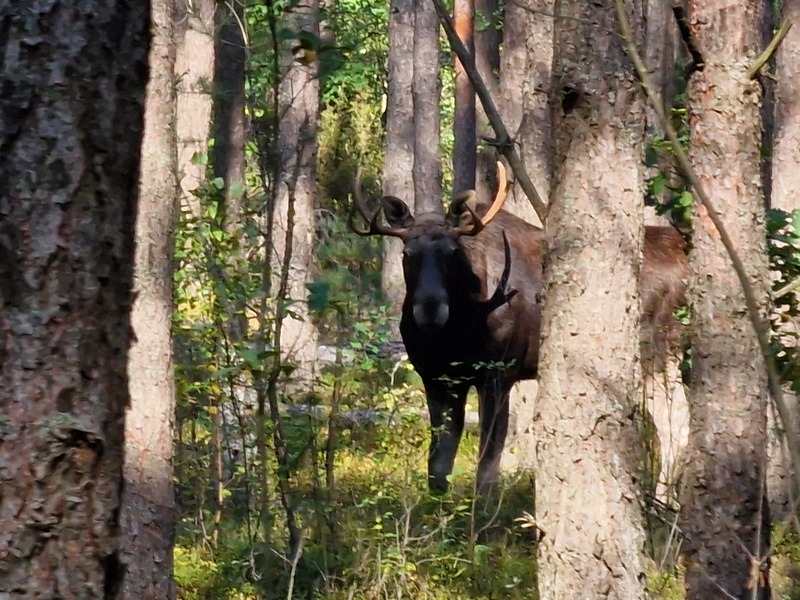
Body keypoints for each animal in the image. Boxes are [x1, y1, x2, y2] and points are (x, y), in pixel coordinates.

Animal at [350, 163, 688, 492]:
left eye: (453, 251)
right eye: (408, 253)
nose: (430, 309)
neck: (454, 332)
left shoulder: (498, 373)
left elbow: (487, 465)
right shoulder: (436, 378)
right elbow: (438, 469)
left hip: (658, 354)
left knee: (674, 426)